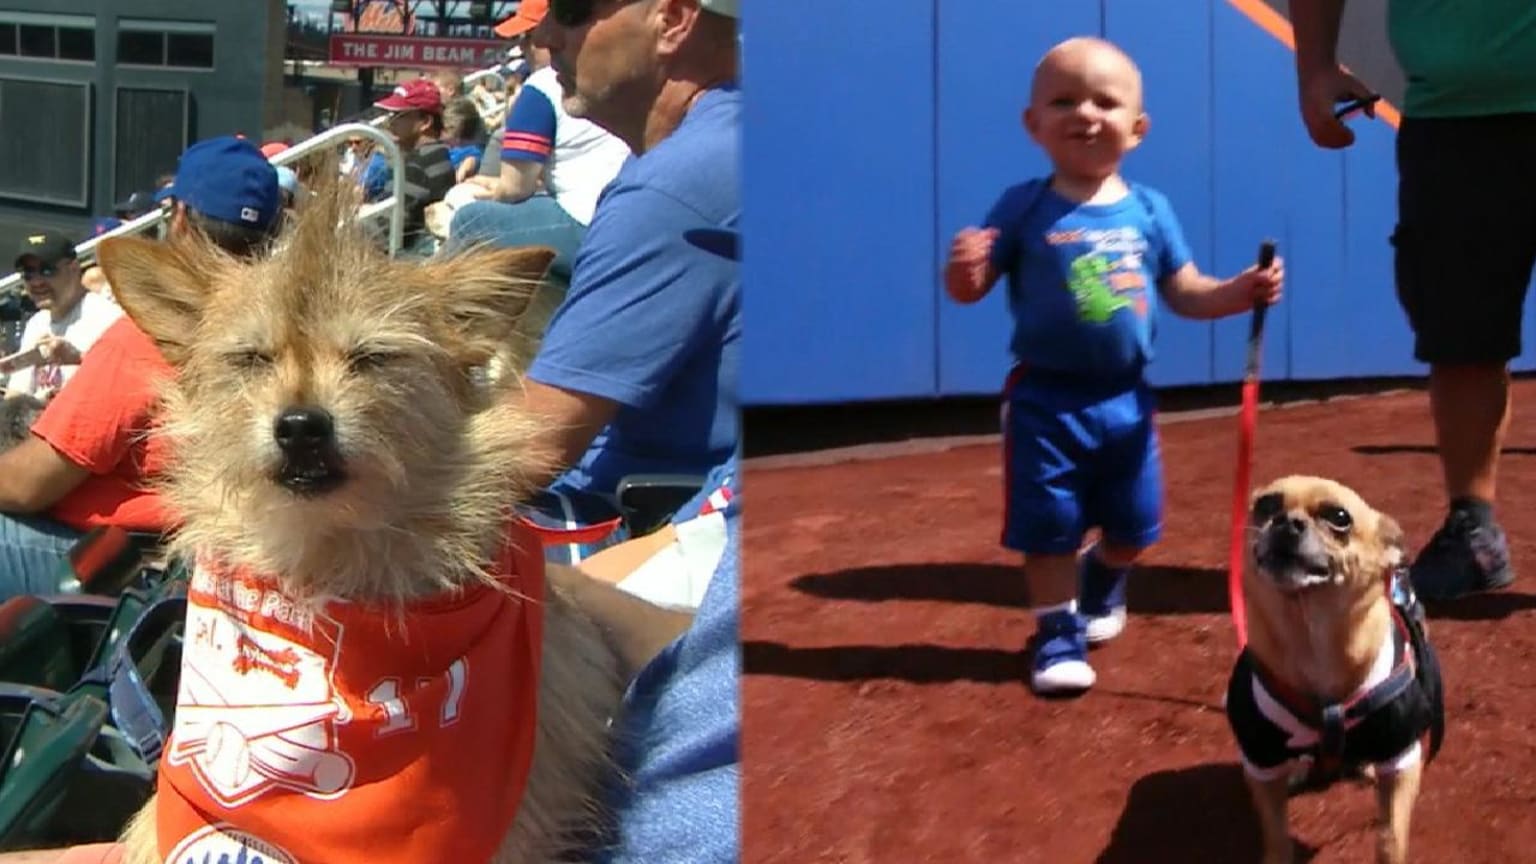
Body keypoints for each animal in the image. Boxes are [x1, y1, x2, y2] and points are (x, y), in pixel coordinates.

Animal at [1222, 473, 1437, 860]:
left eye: (1339, 517)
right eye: (1265, 505)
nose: (1286, 521)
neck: (1312, 639)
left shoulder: (1402, 759)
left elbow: (1390, 836)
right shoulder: (1260, 762)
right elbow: (1275, 832)